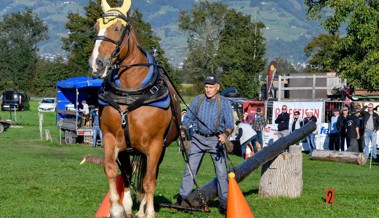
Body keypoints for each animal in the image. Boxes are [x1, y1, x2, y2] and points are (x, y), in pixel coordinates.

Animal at [90, 0, 183, 217]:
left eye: (118, 28)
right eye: (96, 27)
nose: (97, 64)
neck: (130, 92)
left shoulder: (155, 145)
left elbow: (149, 181)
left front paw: (148, 212)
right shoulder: (110, 138)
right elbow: (112, 170)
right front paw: (117, 208)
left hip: (160, 149)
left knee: (150, 176)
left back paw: (142, 208)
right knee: (127, 174)